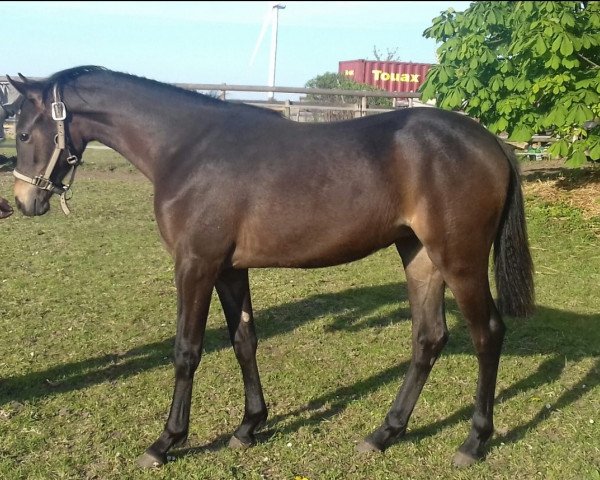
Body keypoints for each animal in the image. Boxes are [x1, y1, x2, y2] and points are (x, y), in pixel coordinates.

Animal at [7, 67, 536, 468]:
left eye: (25, 131)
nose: (24, 201)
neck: (188, 148)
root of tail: (490, 142)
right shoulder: (228, 269)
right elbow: (244, 341)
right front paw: (249, 426)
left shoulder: (195, 265)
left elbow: (187, 351)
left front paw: (166, 442)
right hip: (420, 256)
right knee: (429, 338)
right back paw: (384, 433)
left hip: (460, 260)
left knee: (487, 335)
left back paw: (473, 441)